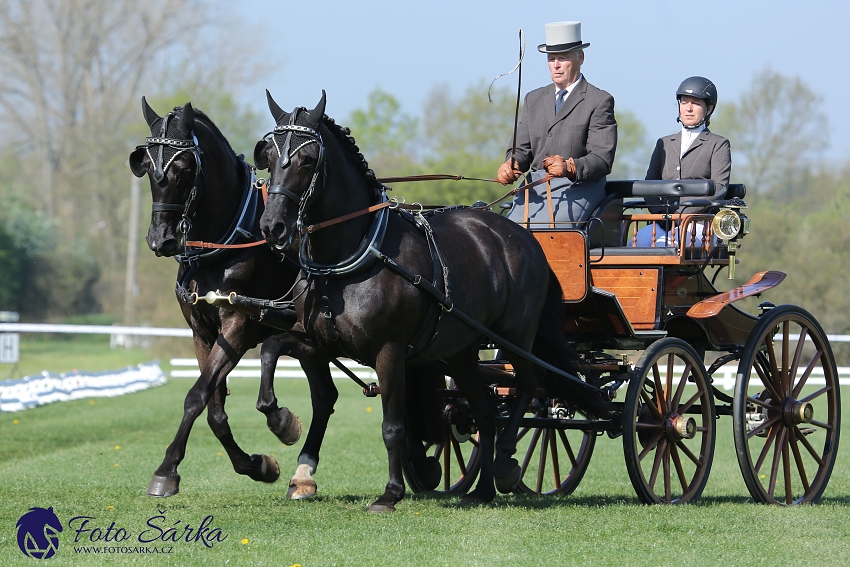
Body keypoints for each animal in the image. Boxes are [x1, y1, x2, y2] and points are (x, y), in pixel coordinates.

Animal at [126, 100, 338, 500]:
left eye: (184, 167)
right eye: (145, 164)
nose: (160, 239)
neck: (227, 243)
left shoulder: (238, 327)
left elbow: (196, 396)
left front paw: (166, 470)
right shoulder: (202, 332)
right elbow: (214, 407)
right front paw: (257, 465)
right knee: (325, 396)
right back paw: (302, 474)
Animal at [255, 92, 608, 510]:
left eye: (308, 159)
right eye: (268, 156)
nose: (272, 227)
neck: (349, 258)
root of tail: (523, 237)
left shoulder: (389, 351)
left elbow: (393, 426)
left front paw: (390, 493)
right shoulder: (318, 342)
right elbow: (273, 351)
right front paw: (281, 423)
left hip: (516, 337)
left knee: (530, 385)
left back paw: (505, 462)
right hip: (461, 352)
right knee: (486, 412)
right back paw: (483, 489)